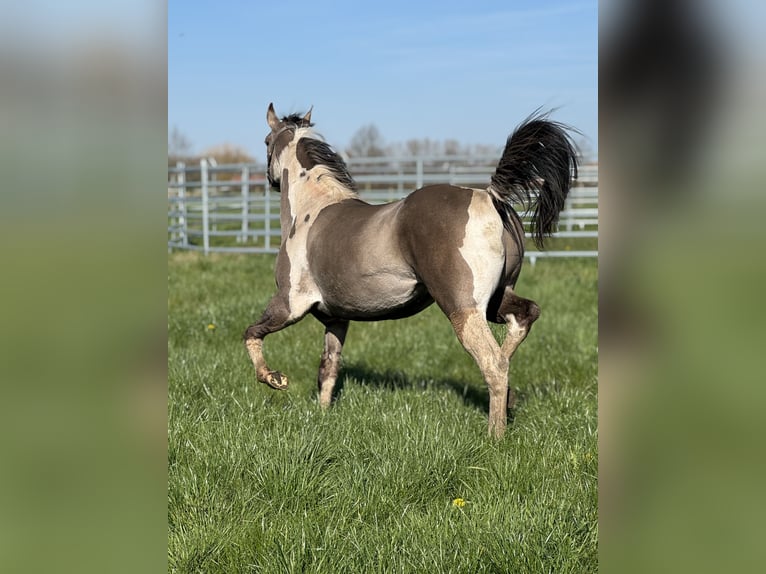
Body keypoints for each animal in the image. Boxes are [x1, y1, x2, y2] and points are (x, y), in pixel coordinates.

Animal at [244, 103, 578, 438]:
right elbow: (328, 369)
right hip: (497, 300)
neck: (310, 211)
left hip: (463, 309)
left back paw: (495, 435)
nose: (270, 180)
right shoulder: (337, 318)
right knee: (522, 322)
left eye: (266, 141)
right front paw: (323, 415)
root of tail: (490, 196)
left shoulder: (289, 305)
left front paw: (274, 379)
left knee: (493, 362)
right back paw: (508, 401)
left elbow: (251, 333)